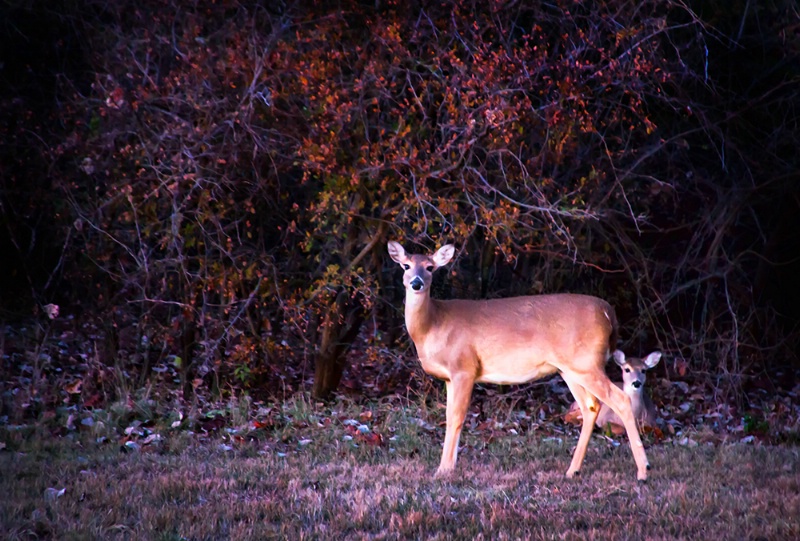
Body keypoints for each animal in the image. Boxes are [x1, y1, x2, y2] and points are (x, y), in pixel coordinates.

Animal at [390, 242, 652, 480]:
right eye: (406, 265)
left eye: (430, 267)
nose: (416, 282)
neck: (434, 324)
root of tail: (609, 313)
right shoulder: (448, 377)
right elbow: (447, 417)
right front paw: (448, 467)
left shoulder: (464, 367)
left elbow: (456, 417)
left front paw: (443, 471)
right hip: (570, 368)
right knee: (591, 406)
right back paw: (572, 470)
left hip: (587, 363)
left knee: (620, 399)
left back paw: (643, 471)